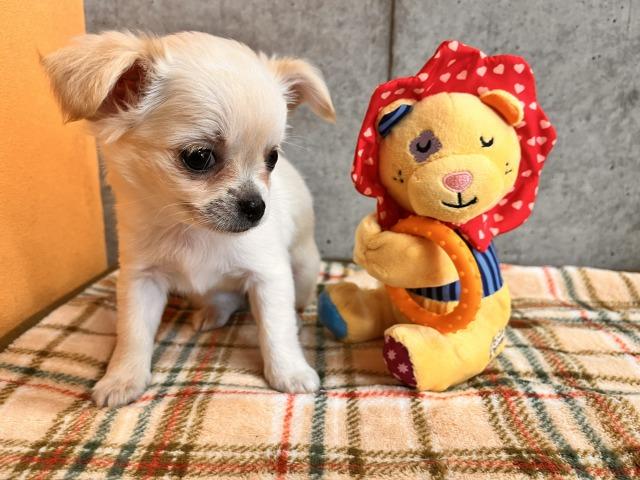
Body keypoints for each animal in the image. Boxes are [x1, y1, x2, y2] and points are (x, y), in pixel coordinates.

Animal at [42, 31, 335, 407]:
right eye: (198, 157)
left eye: (272, 158)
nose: (257, 207)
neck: (191, 231)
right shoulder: (141, 280)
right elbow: (133, 332)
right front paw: (122, 378)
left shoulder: (269, 276)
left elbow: (276, 328)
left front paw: (290, 372)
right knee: (224, 298)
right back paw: (211, 313)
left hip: (304, 267)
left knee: (292, 303)